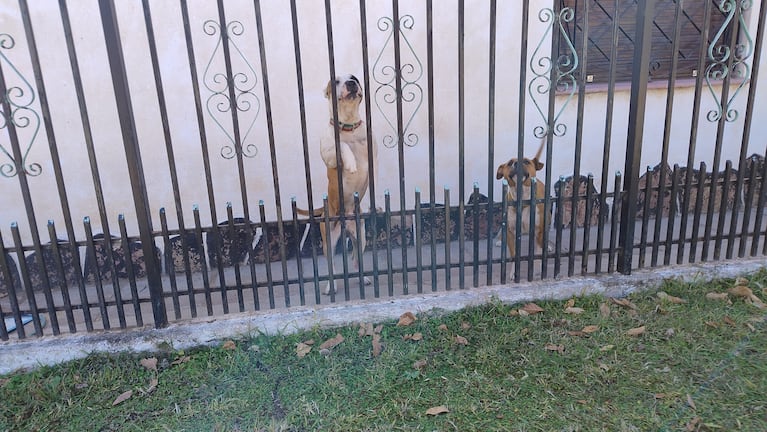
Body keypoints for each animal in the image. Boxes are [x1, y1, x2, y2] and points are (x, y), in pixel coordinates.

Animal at [296, 75, 376, 296]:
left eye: (354, 78)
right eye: (336, 81)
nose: (351, 83)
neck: (348, 125)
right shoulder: (330, 155)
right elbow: (341, 144)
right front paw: (350, 163)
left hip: (361, 236)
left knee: (356, 258)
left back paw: (363, 277)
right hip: (329, 242)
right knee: (332, 266)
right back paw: (329, 287)